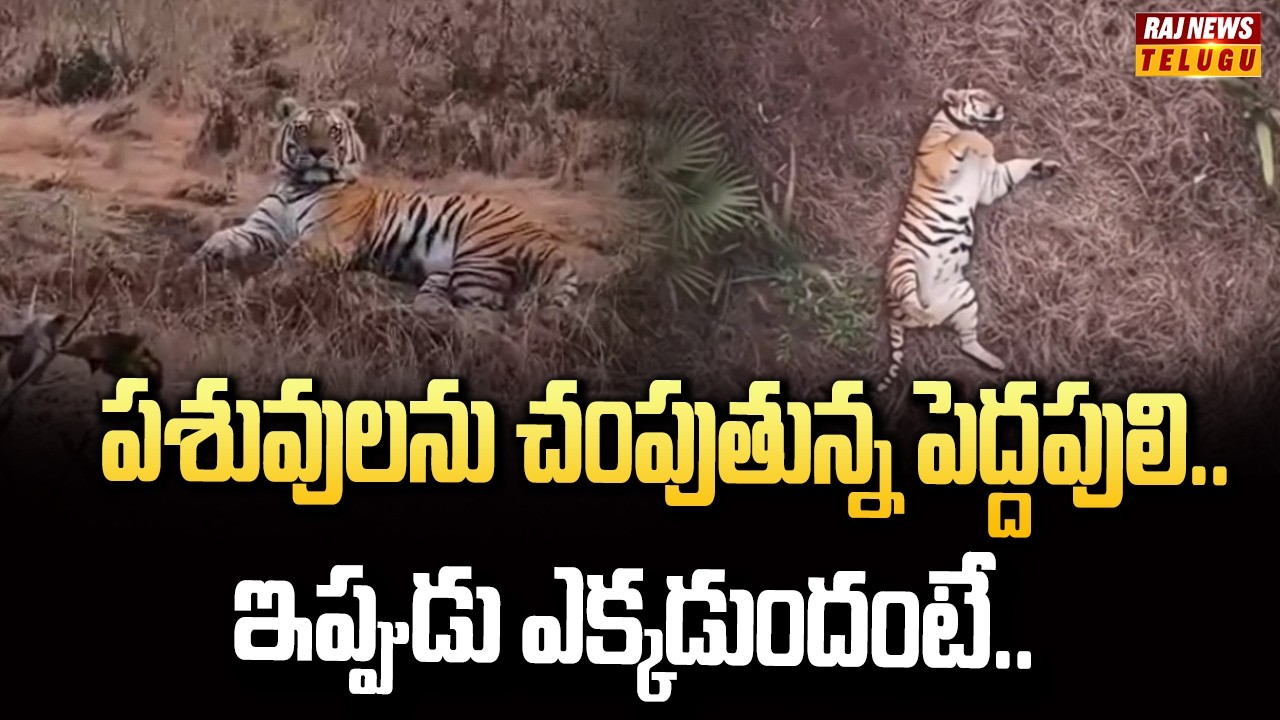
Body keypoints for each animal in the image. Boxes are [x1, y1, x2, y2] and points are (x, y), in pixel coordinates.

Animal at [184, 96, 581, 312]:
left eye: (333, 131)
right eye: (302, 128)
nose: (318, 152)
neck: (295, 184)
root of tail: (549, 238)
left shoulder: (325, 238)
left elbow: (285, 263)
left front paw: (255, 287)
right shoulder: (261, 229)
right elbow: (220, 238)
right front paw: (193, 264)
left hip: (477, 257)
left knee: (489, 311)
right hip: (448, 271)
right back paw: (423, 311)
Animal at [875, 87, 1062, 394]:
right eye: (979, 96)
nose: (1001, 105)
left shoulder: (992, 182)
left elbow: (1017, 165)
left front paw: (1045, 166)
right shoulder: (940, 160)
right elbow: (963, 138)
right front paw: (984, 142)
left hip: (964, 297)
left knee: (965, 343)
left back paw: (996, 363)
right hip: (903, 264)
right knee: (911, 303)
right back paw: (923, 314)